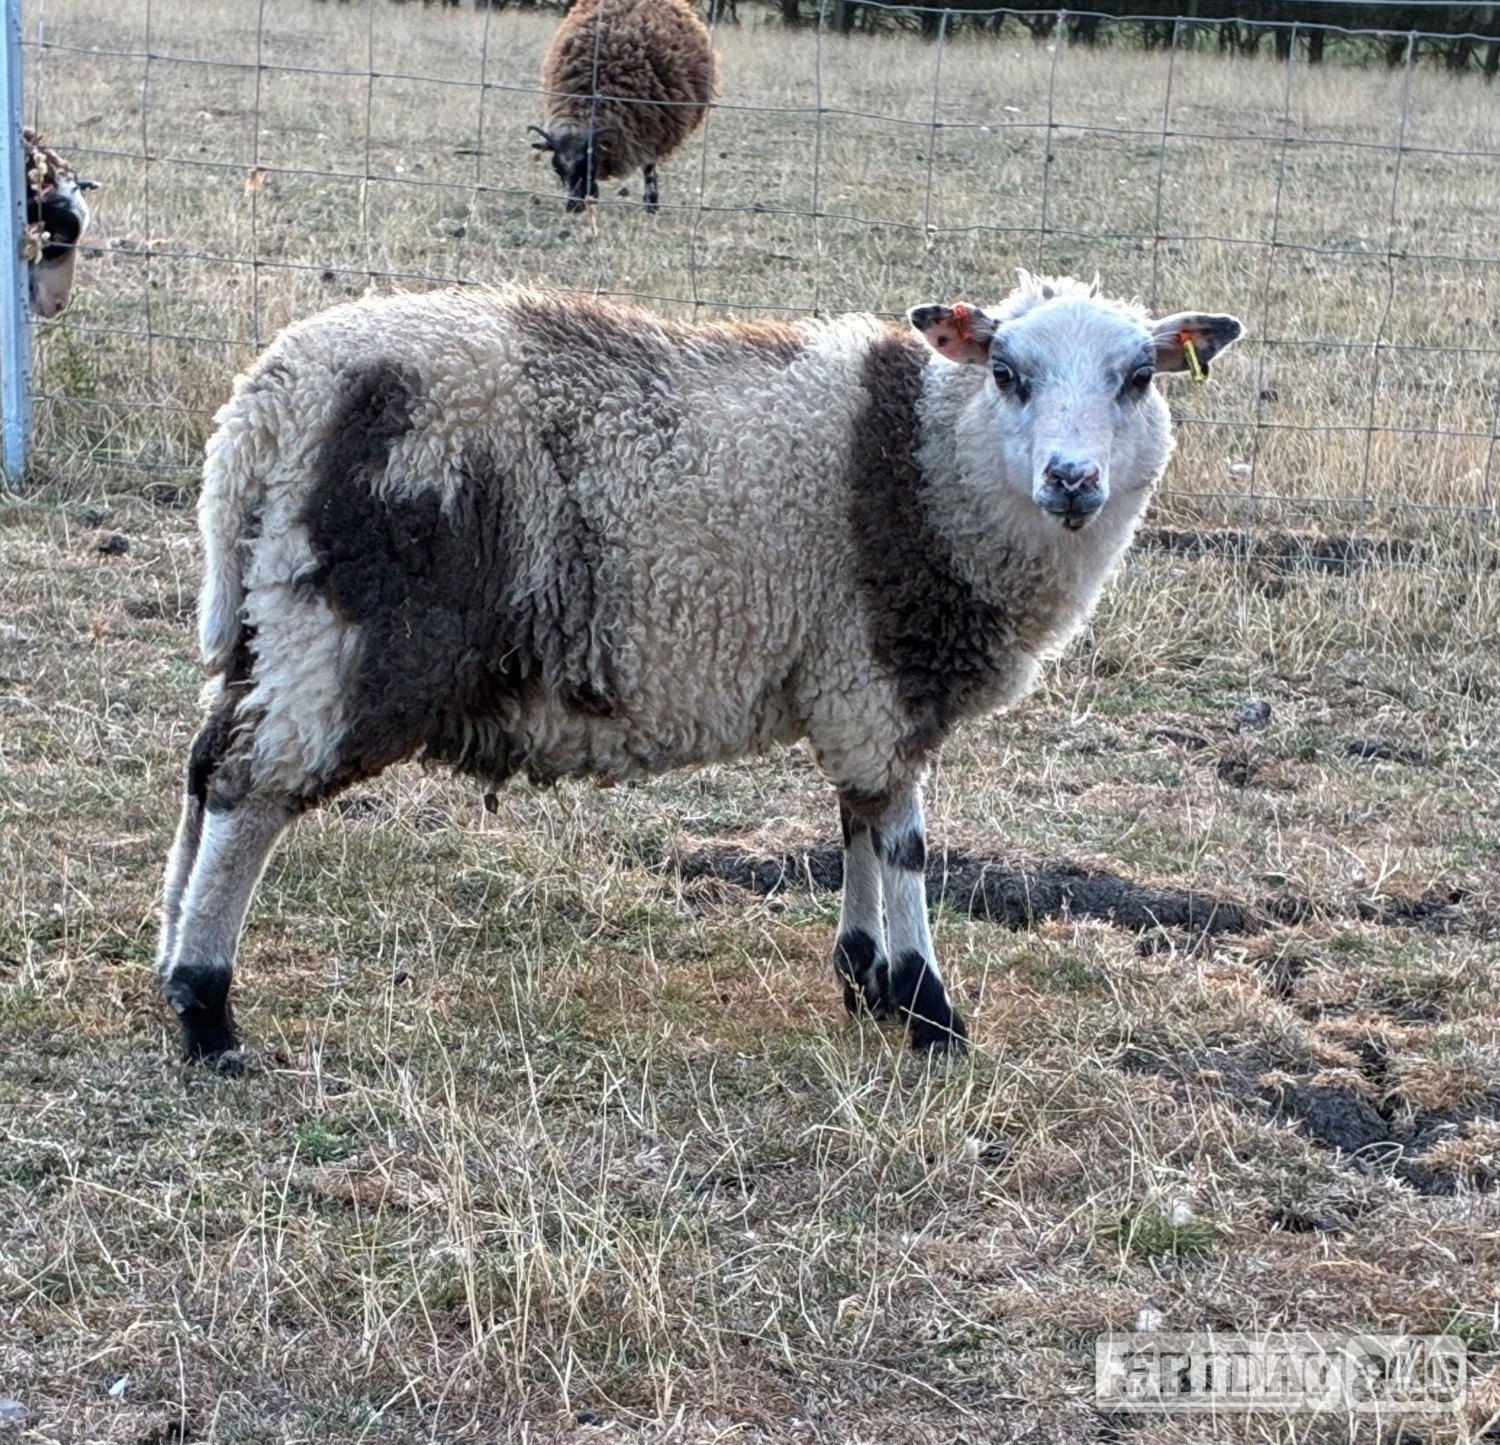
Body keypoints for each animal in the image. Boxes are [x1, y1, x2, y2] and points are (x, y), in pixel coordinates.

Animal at [156, 274, 1241, 1070]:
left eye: (1138, 377)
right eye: (1008, 371)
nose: (1073, 479)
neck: (933, 461)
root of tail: (265, 408)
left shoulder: (850, 677)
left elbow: (854, 819)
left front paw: (865, 976)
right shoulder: (879, 676)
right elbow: (903, 843)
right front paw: (928, 1009)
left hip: (267, 616)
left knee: (207, 764)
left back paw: (168, 958)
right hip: (349, 627)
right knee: (252, 787)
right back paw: (208, 1011)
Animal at [529, 0, 714, 213]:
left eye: (588, 164)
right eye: (557, 167)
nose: (573, 207)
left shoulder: (651, 127)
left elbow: (649, 166)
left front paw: (651, 205)